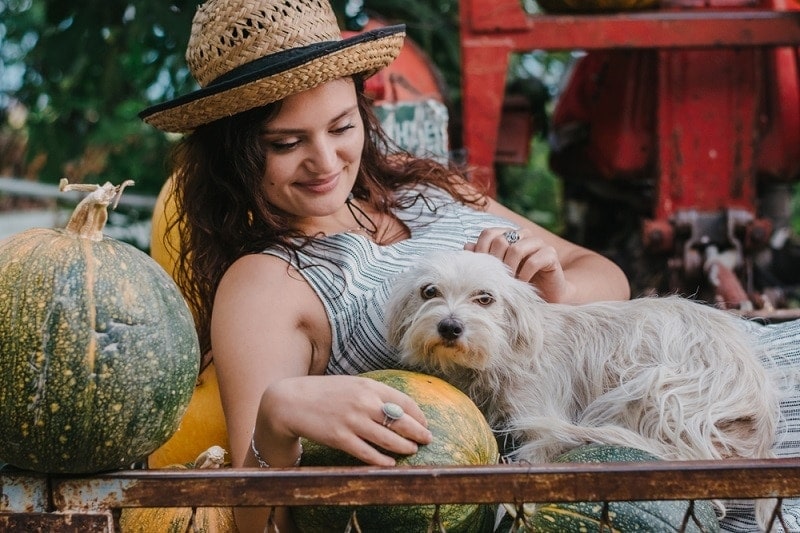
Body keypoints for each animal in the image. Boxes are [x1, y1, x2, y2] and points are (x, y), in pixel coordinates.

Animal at [384, 250, 784, 524]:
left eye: (485, 298)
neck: (501, 354)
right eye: (429, 291)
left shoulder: (540, 426)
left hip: (647, 385)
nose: (450, 327)